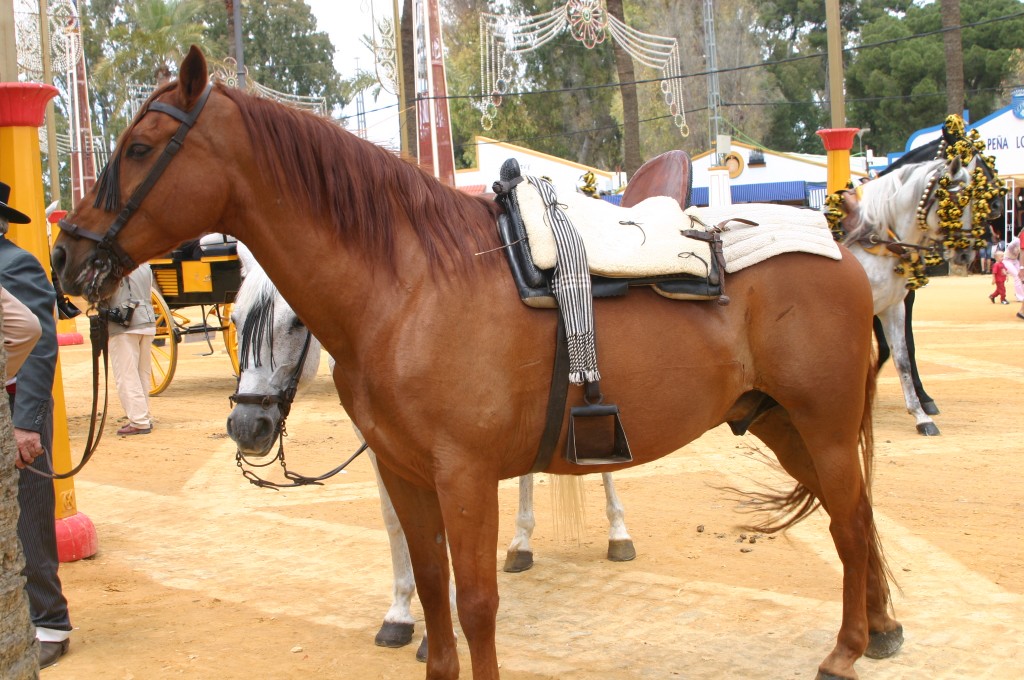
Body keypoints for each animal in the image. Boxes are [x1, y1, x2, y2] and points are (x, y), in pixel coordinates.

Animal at [228, 246, 634, 659]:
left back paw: (618, 535)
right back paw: (521, 544)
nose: (246, 425)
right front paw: (399, 615)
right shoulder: (381, 445)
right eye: (234, 318)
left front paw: (440, 630)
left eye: (296, 322)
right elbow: (396, 522)